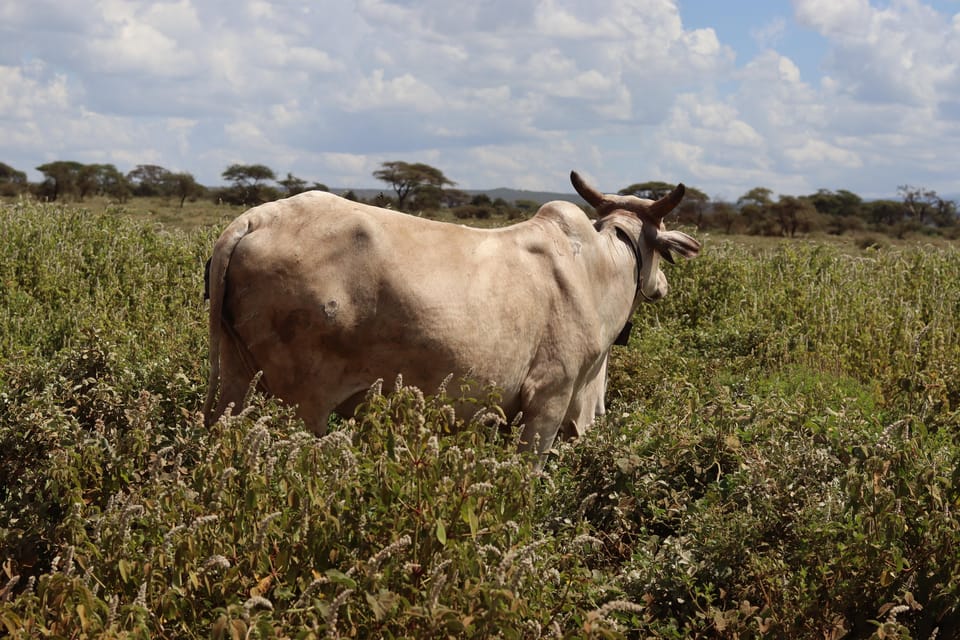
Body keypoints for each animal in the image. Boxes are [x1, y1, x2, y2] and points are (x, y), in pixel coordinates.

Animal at [204, 172, 696, 458]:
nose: (663, 287)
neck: (597, 270)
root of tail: (253, 220)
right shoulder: (548, 399)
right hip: (303, 403)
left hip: (233, 377)